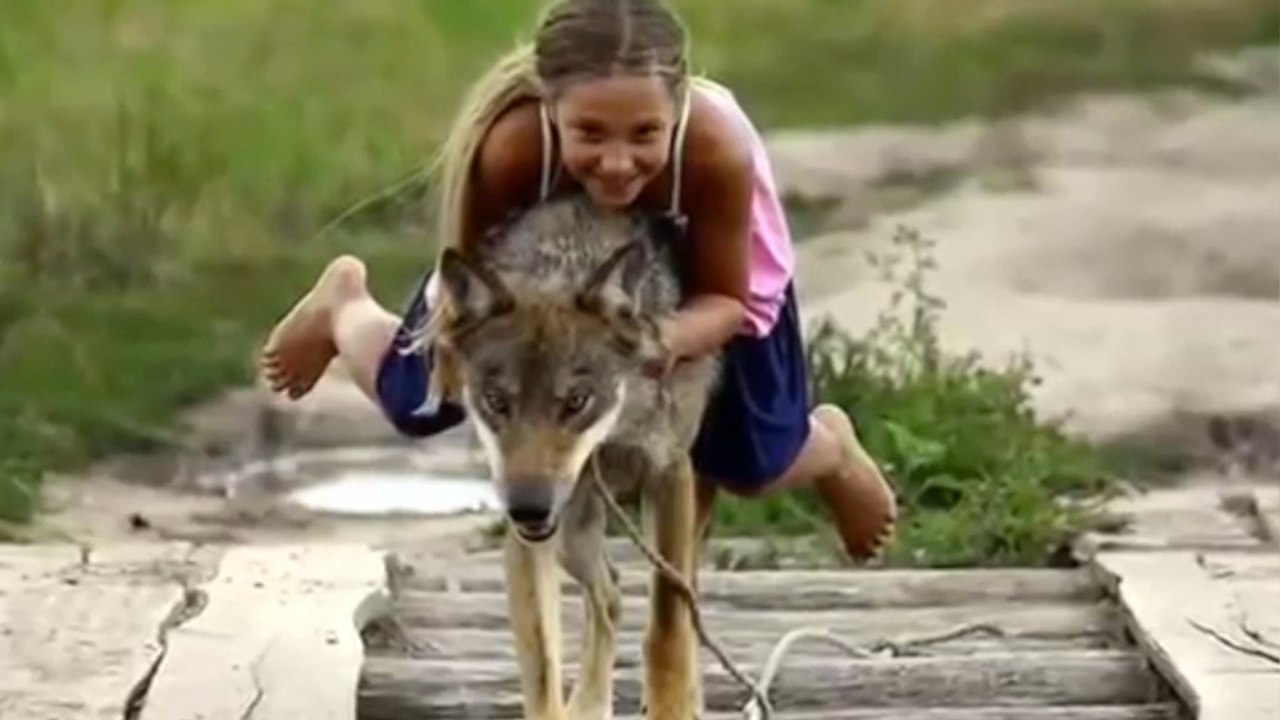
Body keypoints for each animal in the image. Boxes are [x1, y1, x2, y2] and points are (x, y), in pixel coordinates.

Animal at [437, 192, 721, 717]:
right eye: (497, 402)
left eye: (575, 401)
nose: (528, 508)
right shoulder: (530, 539)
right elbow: (543, 667)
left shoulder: (669, 474)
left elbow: (667, 631)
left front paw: (672, 702)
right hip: (573, 536)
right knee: (610, 595)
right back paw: (590, 703)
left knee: (682, 603)